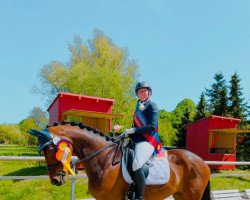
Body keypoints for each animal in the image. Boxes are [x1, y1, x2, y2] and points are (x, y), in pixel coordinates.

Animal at [29, 122, 211, 200]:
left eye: (50, 149)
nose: (55, 180)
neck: (105, 160)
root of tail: (201, 161)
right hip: (180, 195)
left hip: (192, 194)